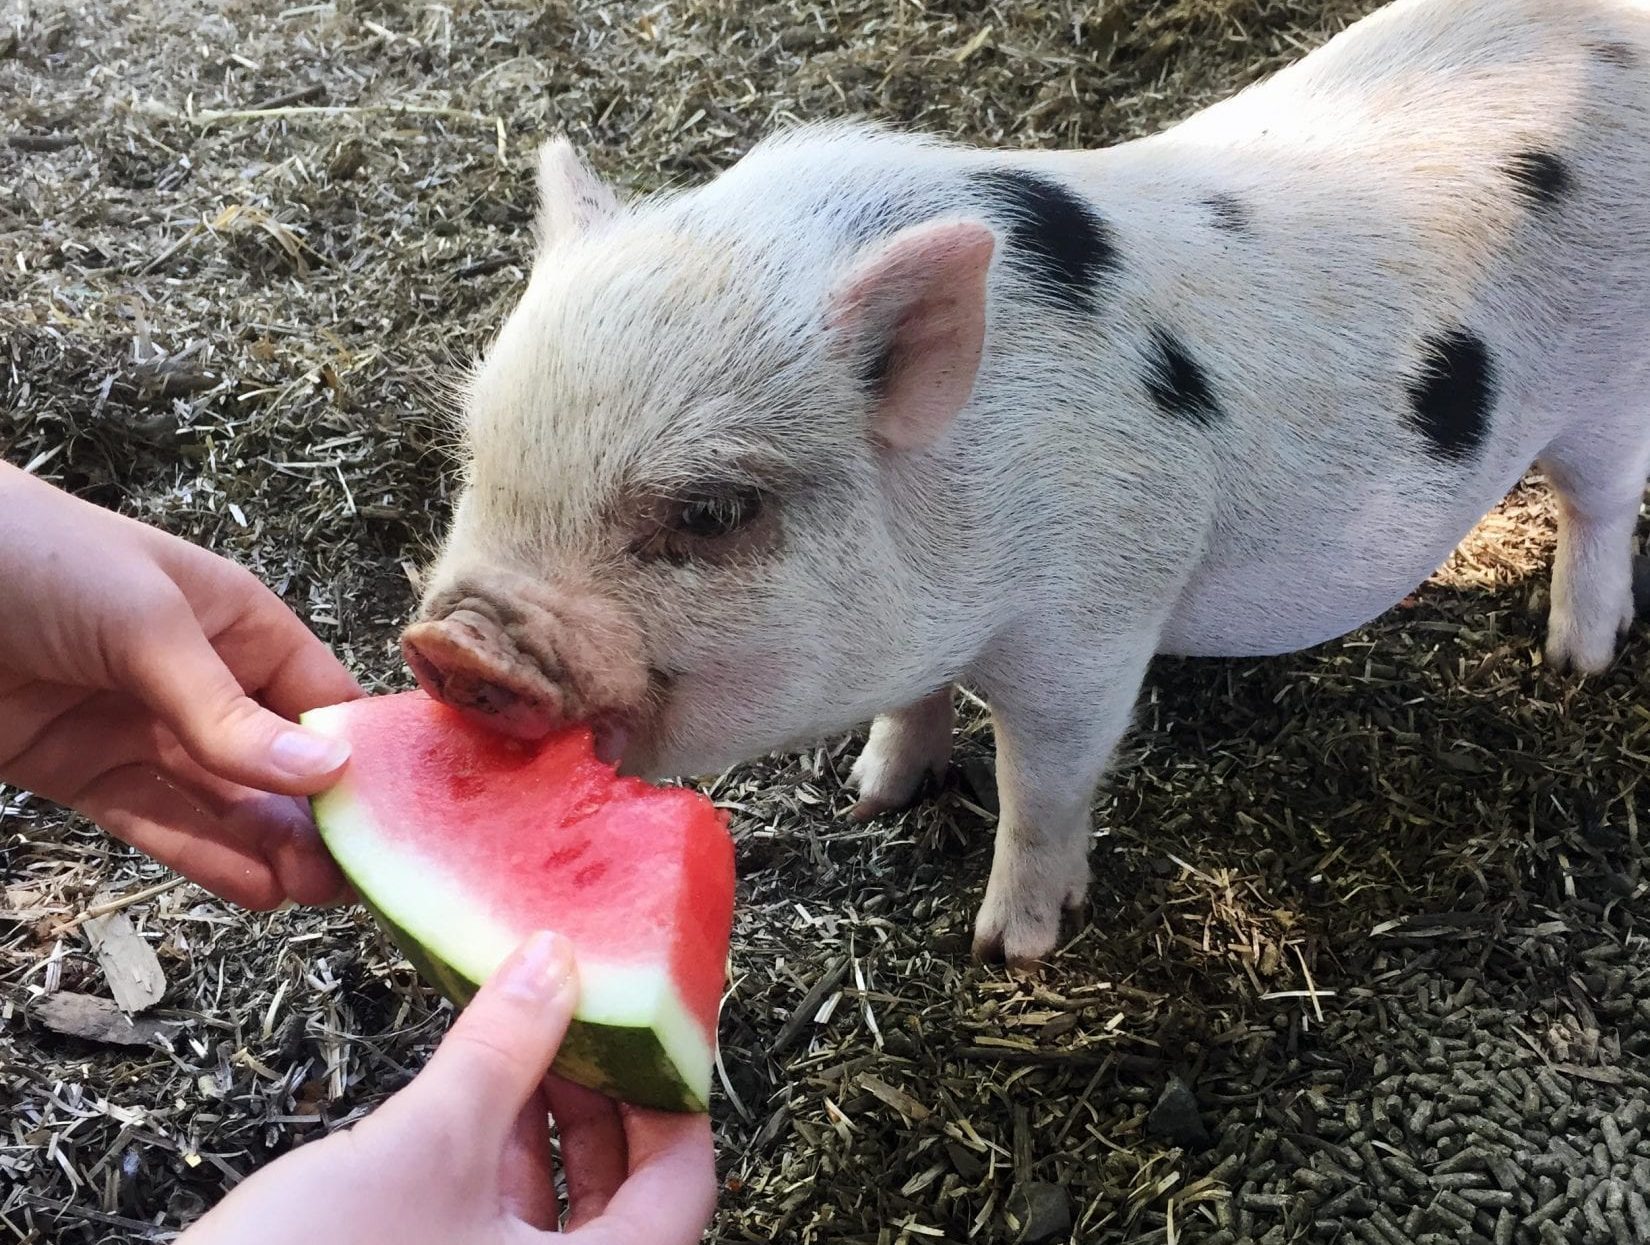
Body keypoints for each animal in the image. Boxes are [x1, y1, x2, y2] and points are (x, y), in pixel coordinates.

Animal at [403, 0, 1650, 965]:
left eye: (711, 512)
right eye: (475, 452)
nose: (452, 642)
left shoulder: (1090, 633)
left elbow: (1040, 787)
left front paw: (1008, 948)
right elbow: (915, 707)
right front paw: (870, 793)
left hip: (1607, 388)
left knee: (1602, 505)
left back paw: (1574, 661)